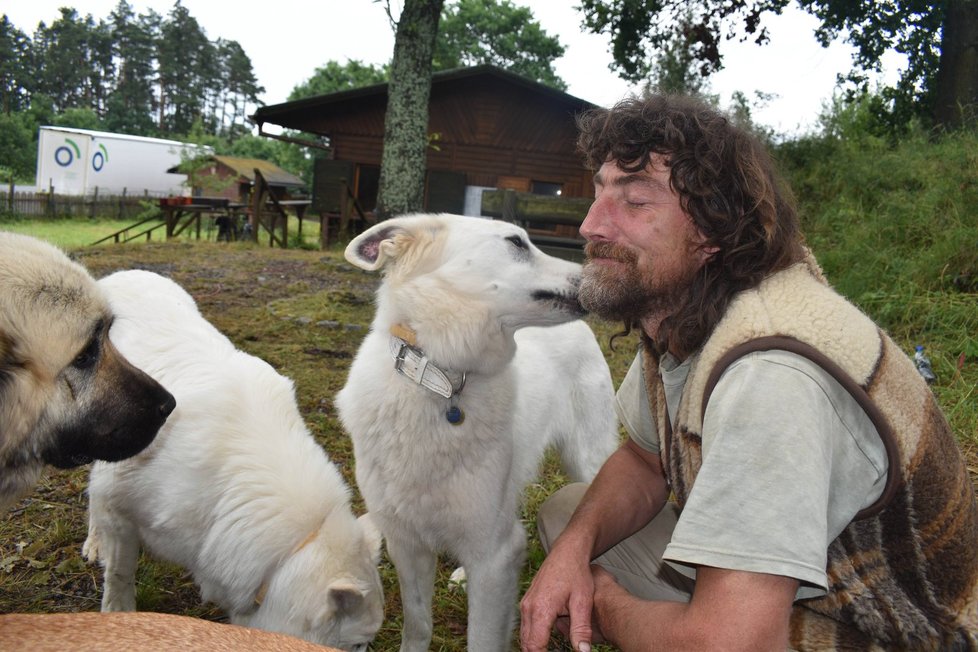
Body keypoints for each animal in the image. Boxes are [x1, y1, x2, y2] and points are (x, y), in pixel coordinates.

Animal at [83, 270, 386, 652]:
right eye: (358, 644)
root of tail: (124, 273)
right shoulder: (120, 509)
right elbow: (120, 574)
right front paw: (117, 615)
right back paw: (95, 541)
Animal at [332, 215, 612, 652]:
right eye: (516, 243)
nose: (594, 281)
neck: (443, 380)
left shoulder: (493, 559)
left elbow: (482, 637)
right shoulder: (407, 545)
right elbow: (417, 625)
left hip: (589, 462)